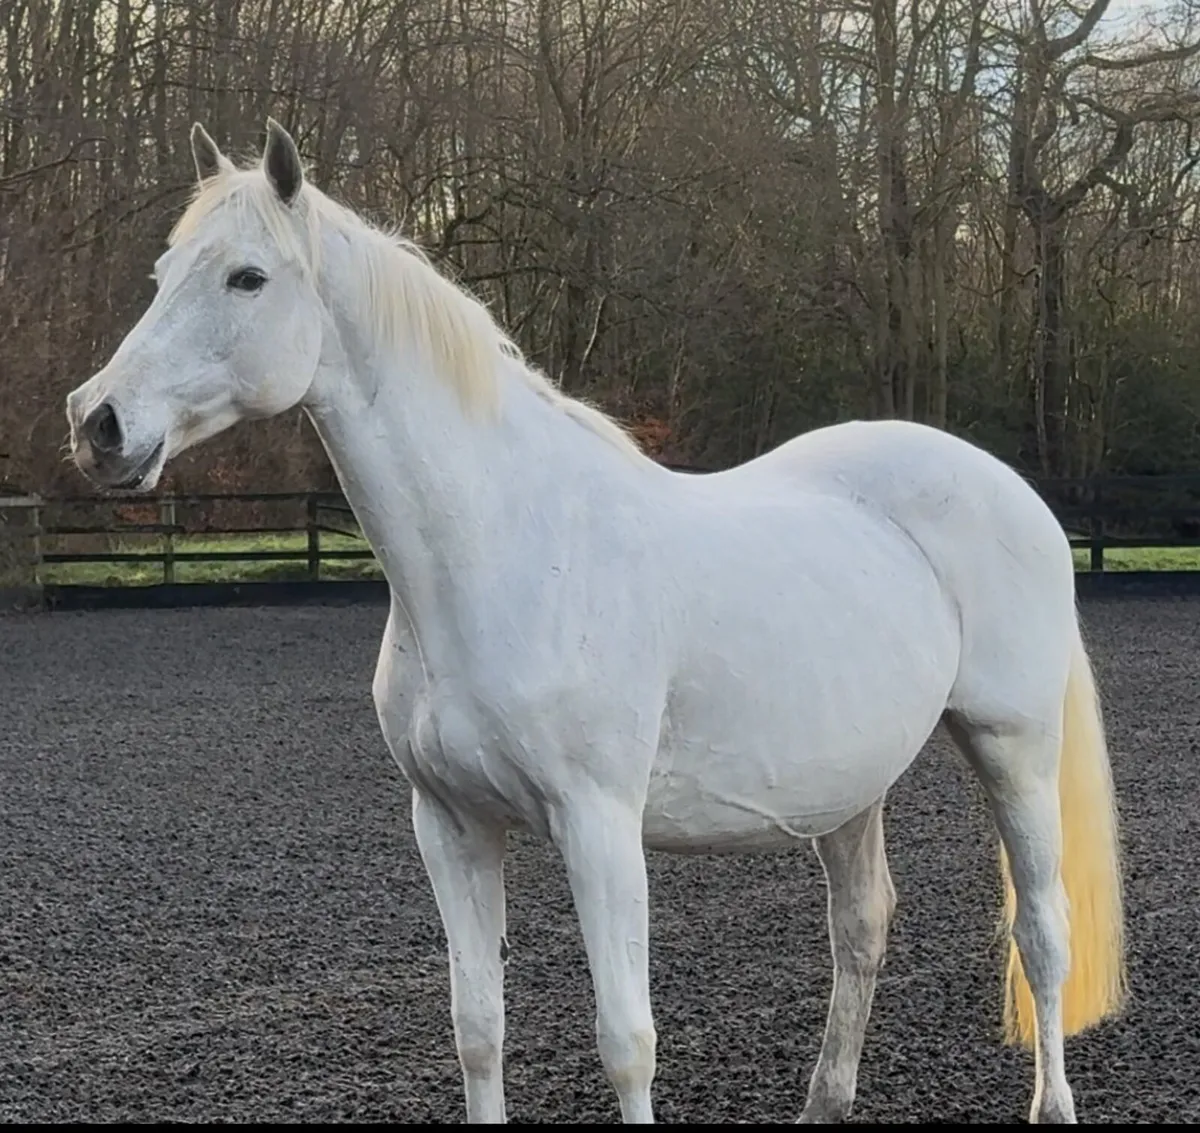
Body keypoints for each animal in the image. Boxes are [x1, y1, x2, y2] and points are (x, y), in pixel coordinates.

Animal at [64, 120, 1125, 1124]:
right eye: (163, 273)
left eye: (247, 277)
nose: (97, 422)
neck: (506, 552)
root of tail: (1014, 492)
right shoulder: (449, 824)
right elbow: (478, 1026)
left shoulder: (599, 823)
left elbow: (626, 1038)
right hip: (850, 785)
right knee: (862, 926)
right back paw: (824, 1101)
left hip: (1013, 746)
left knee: (1042, 931)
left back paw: (1053, 1101)